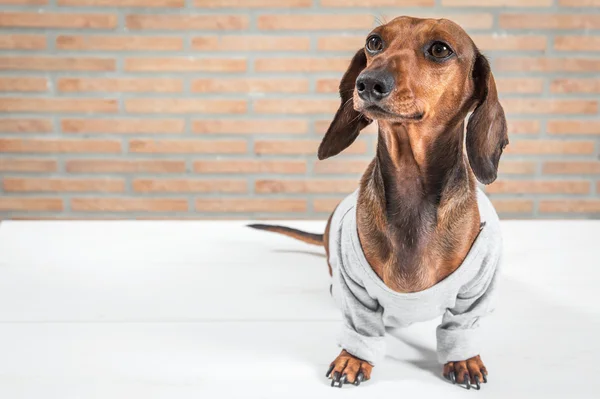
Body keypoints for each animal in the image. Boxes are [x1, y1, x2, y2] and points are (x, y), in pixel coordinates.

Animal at [248, 16, 506, 390]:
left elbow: (460, 326)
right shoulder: (355, 291)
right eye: (374, 42)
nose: (368, 83)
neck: (412, 193)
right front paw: (353, 359)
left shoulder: (476, 291)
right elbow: (363, 327)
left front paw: (464, 359)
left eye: (440, 49)